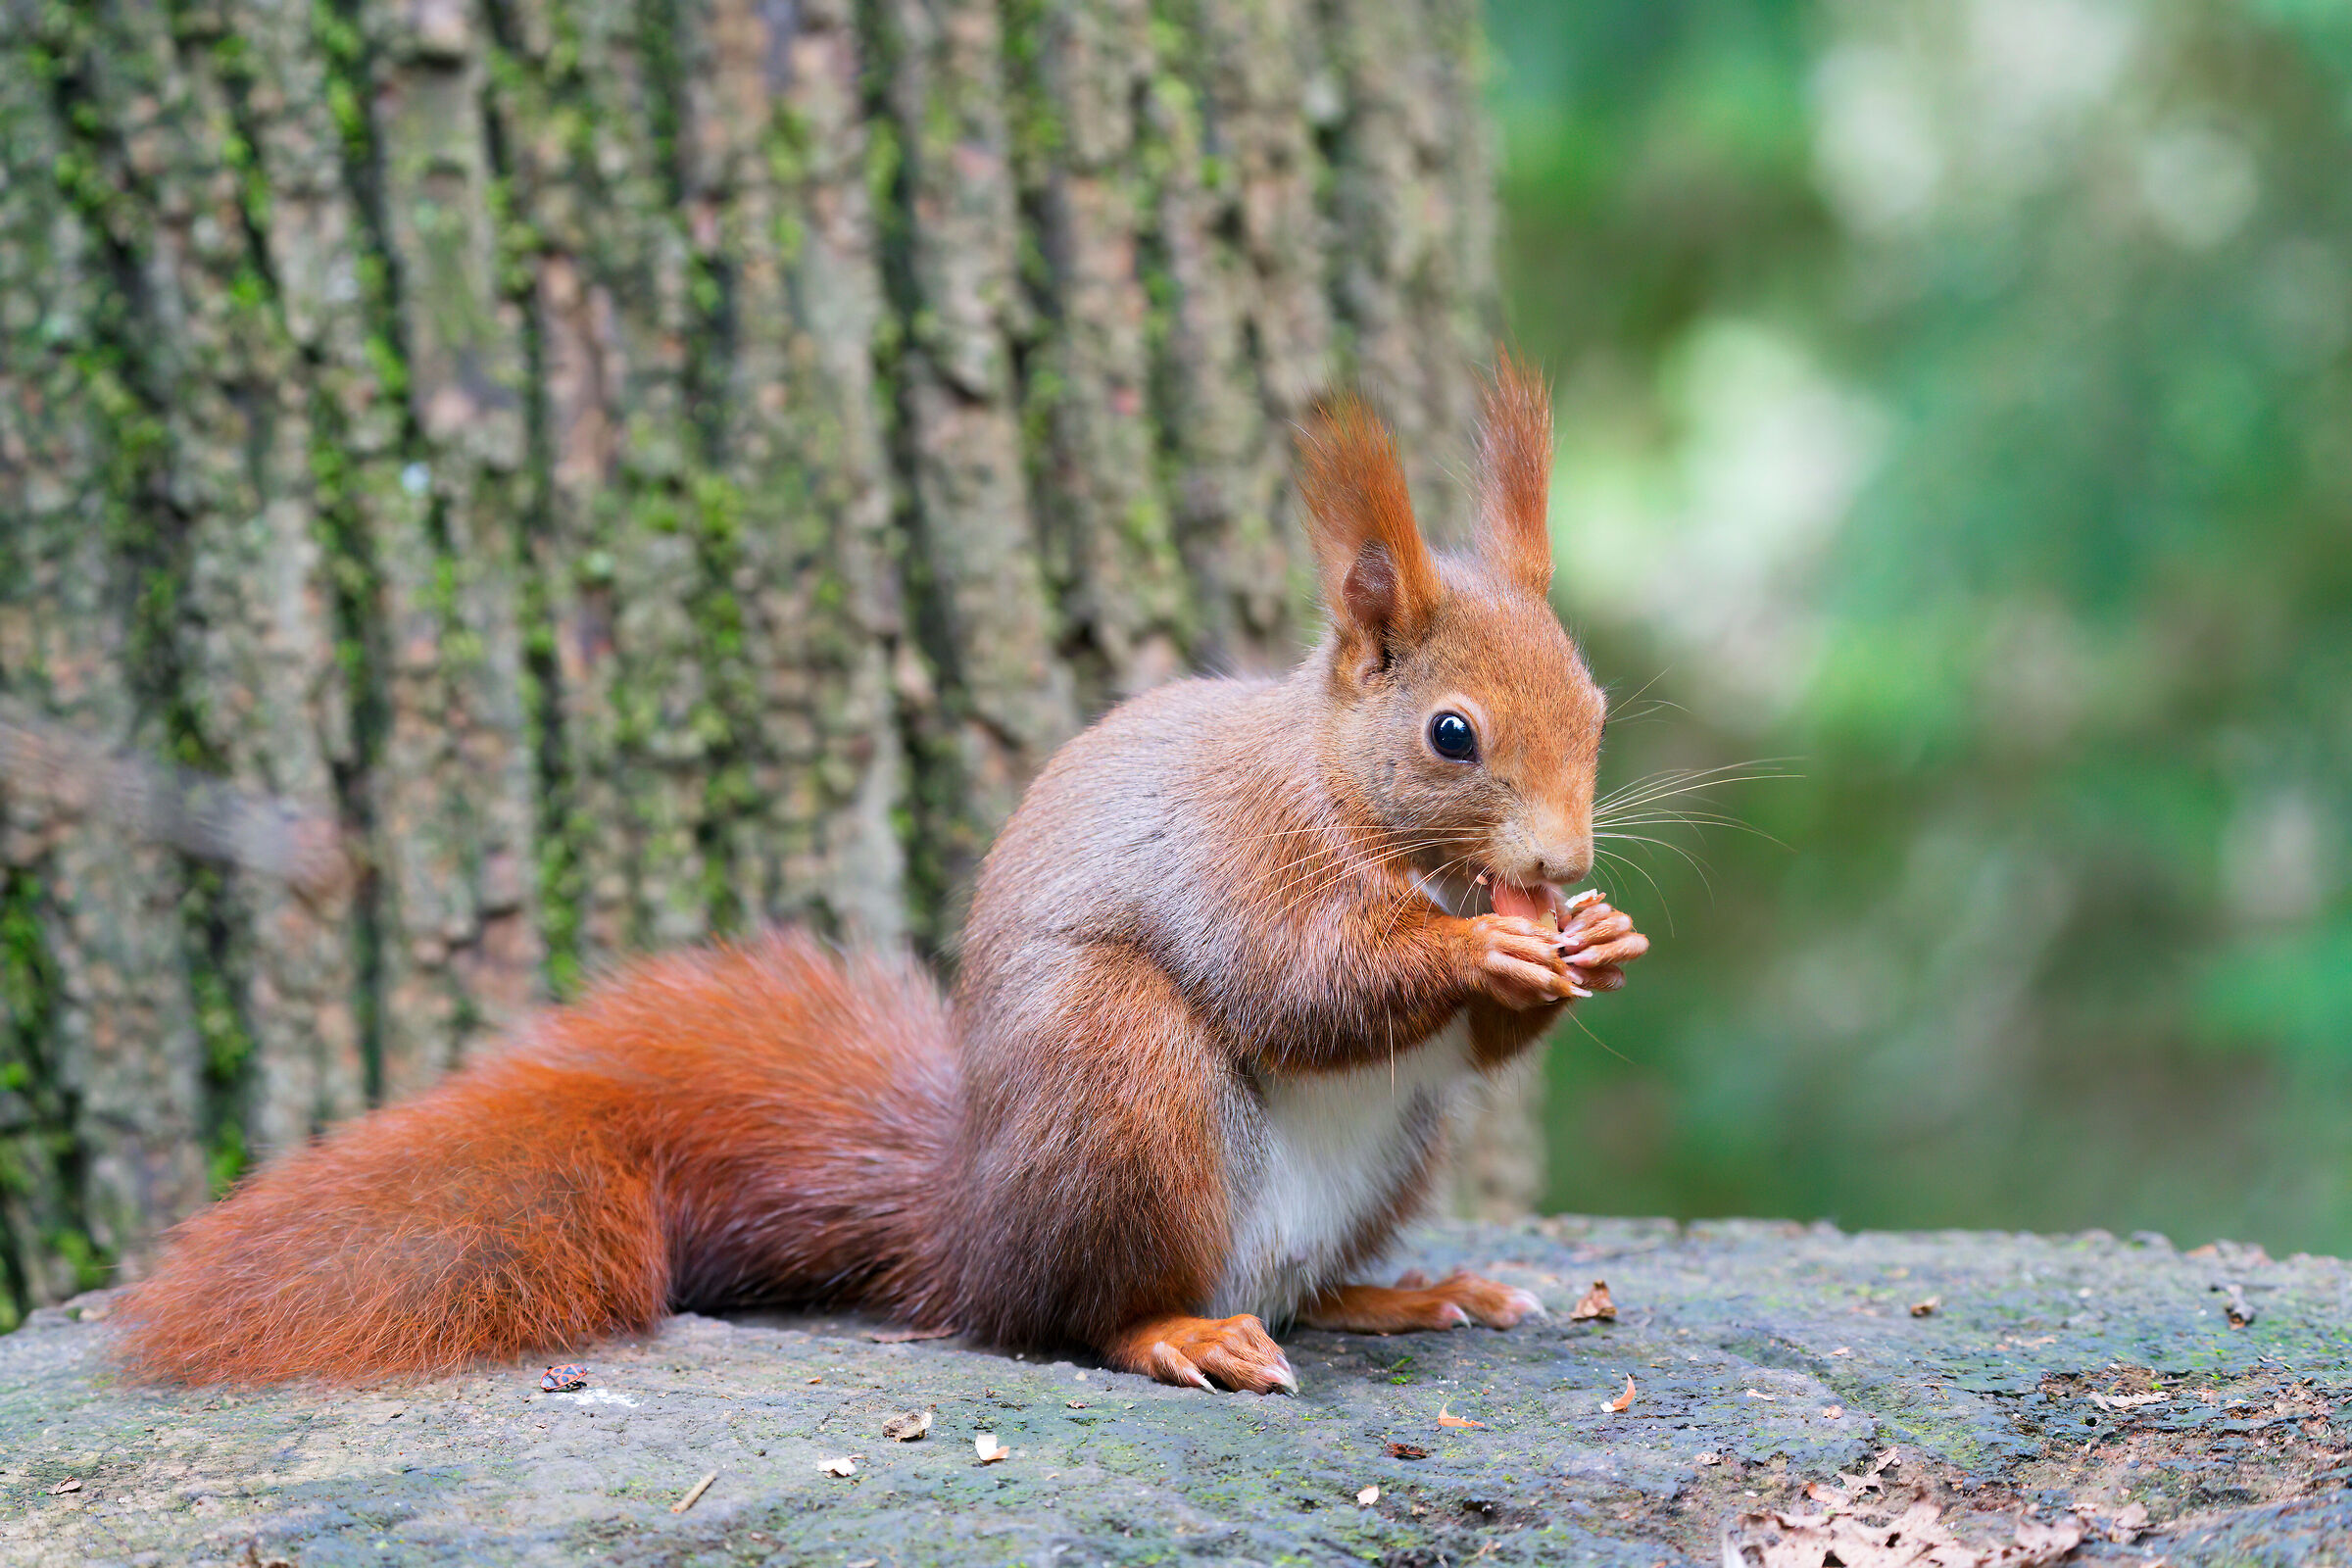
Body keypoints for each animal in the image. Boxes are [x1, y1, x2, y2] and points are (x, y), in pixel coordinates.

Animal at [113, 357, 1650, 1395]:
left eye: (1595, 706)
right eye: (1451, 735)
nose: (1560, 861)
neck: (1349, 797)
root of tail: (967, 1225)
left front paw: (1595, 938)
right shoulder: (1241, 858)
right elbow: (1300, 982)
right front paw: (1484, 950)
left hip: (1389, 1154)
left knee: (1304, 1290)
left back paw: (1406, 1296)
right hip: (1121, 1086)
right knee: (1080, 1314)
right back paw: (1183, 1331)